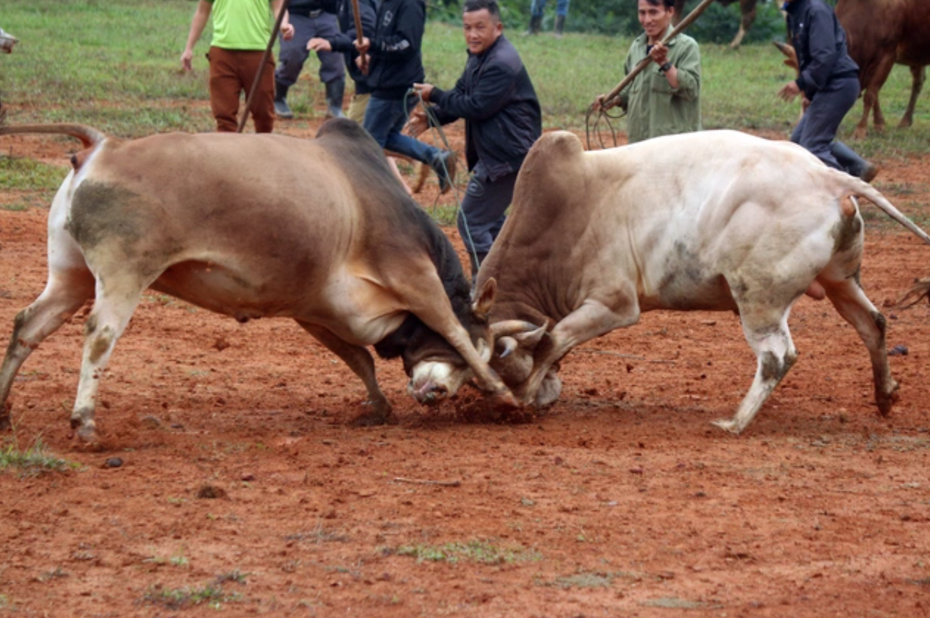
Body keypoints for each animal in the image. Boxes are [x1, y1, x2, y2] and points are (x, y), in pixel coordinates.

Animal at [0, 118, 516, 440]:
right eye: (484, 346)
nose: (438, 395)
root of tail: (105, 146)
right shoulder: (412, 274)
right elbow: (451, 329)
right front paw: (503, 391)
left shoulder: (314, 313)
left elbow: (359, 360)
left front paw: (379, 407)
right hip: (124, 274)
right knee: (99, 336)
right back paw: (84, 422)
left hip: (70, 278)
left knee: (28, 326)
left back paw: (4, 411)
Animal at [426, 128, 928, 430]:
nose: (494, 404)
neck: (563, 216)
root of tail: (826, 177)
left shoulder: (613, 305)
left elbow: (553, 340)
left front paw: (525, 398)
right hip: (842, 281)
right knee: (873, 323)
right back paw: (885, 395)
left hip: (759, 300)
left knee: (777, 357)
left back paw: (734, 423)